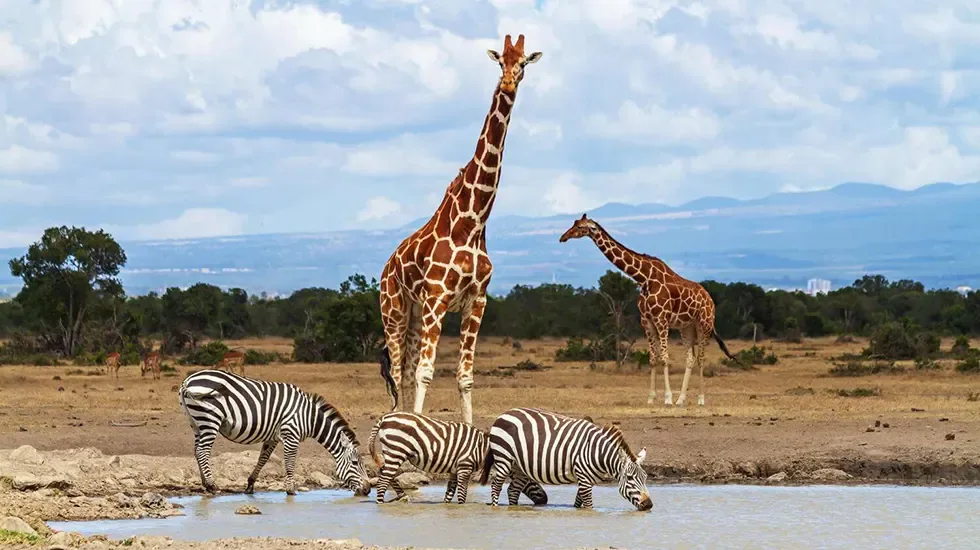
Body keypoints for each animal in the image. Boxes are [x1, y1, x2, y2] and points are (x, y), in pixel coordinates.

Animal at [178, 369, 370, 496]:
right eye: (355, 463)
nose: (368, 490)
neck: (309, 417)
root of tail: (187, 381)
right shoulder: (291, 434)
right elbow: (290, 463)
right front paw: (291, 490)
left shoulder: (273, 437)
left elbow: (263, 459)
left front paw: (250, 485)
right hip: (210, 420)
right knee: (203, 451)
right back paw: (212, 485)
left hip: (196, 423)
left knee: (197, 450)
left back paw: (205, 483)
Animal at [367, 411, 548, 506]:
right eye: (531, 480)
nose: (544, 500)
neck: (483, 448)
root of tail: (385, 417)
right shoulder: (464, 466)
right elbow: (462, 493)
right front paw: (462, 507)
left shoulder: (455, 469)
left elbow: (450, 493)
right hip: (396, 450)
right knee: (383, 480)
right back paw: (382, 503)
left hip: (392, 453)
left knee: (385, 474)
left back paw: (402, 496)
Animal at [378, 34, 543, 425]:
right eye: (500, 62)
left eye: (523, 63)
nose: (509, 84)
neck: (473, 221)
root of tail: (387, 265)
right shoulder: (438, 298)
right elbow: (426, 372)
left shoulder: (476, 301)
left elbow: (464, 376)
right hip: (394, 311)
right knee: (398, 371)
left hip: (416, 315)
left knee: (406, 369)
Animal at [480, 407, 652, 511]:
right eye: (629, 478)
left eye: (645, 478)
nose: (649, 504)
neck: (598, 453)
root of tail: (504, 414)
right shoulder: (584, 478)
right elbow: (588, 506)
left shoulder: (586, 479)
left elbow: (578, 503)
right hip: (504, 458)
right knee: (496, 487)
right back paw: (495, 508)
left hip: (519, 467)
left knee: (513, 490)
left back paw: (513, 510)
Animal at [559, 214, 740, 407]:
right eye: (574, 223)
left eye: (580, 227)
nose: (563, 237)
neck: (644, 278)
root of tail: (710, 300)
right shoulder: (647, 321)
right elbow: (653, 359)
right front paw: (652, 398)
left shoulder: (662, 320)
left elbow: (665, 358)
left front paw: (667, 398)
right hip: (686, 327)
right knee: (690, 359)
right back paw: (681, 400)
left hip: (704, 324)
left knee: (701, 358)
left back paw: (700, 399)